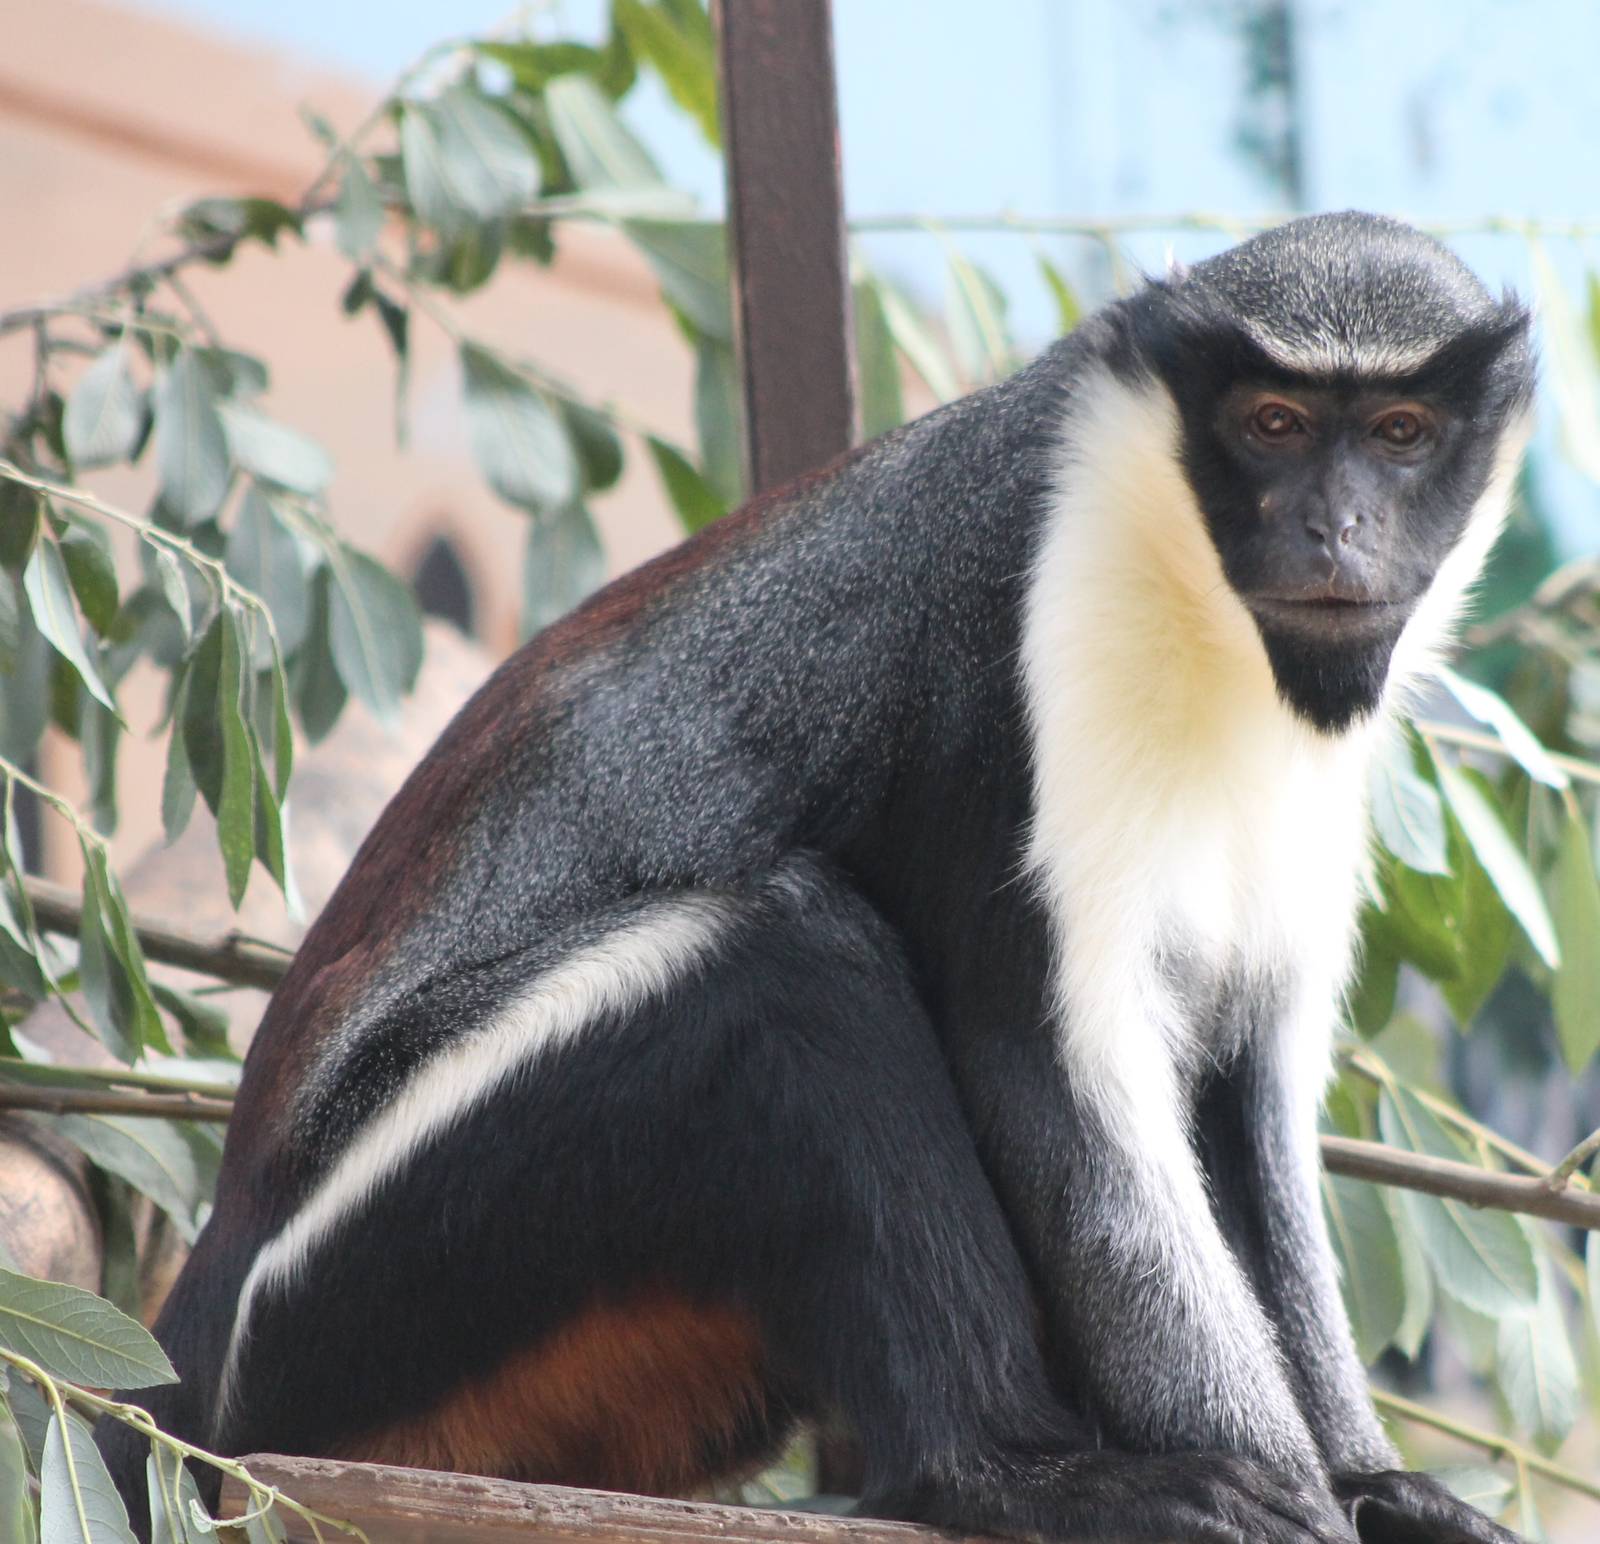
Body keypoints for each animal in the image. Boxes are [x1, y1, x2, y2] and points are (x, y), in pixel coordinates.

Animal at [99, 212, 1534, 1544]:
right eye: (1273, 424)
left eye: (1400, 432)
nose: (1337, 529)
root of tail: (208, 1302)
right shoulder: (1014, 666)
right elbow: (1047, 1071)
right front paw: (1279, 1486)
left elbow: (1247, 1105)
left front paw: (1373, 1486)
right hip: (372, 1271)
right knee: (779, 965)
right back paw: (1009, 1472)